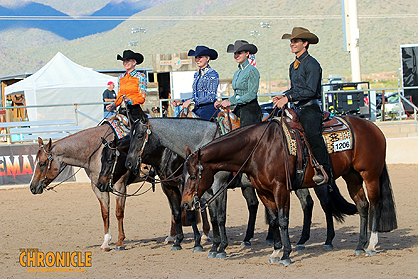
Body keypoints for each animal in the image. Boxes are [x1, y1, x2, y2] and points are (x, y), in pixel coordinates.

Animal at [126, 117, 356, 260]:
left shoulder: (218, 186)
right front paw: (214, 246)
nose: (129, 164)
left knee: (324, 205)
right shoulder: (204, 190)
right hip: (296, 184)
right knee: (305, 204)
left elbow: (219, 217)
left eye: (139, 136)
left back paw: (325, 240)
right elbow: (211, 216)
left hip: (316, 183)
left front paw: (220, 248)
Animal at [183, 116, 398, 266]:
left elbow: (283, 219)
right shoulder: (263, 191)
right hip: (351, 176)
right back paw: (360, 246)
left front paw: (286, 254)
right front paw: (276, 251)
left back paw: (371, 244)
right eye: (182, 176)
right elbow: (273, 220)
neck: (260, 148)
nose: (186, 203)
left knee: (374, 205)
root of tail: (373, 127)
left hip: (370, 175)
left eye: (193, 176)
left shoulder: (280, 188)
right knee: (362, 206)